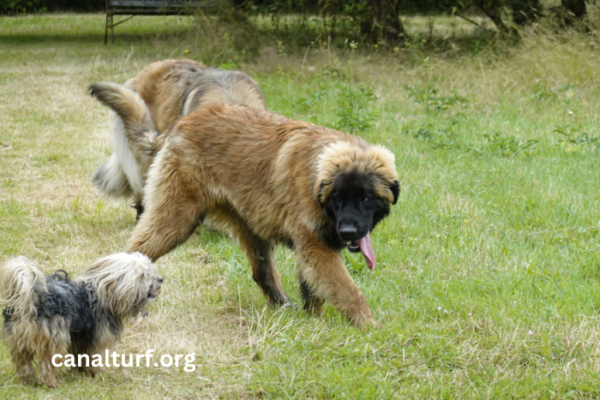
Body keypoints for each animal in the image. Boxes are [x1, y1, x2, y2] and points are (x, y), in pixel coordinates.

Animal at [0, 253, 162, 388]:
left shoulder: (81, 338)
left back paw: (26, 381)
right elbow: (97, 355)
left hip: (19, 339)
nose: (160, 279)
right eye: (144, 275)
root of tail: (35, 298)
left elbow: (81, 355)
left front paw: (83, 370)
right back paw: (51, 383)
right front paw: (100, 372)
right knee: (48, 363)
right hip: (55, 340)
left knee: (23, 362)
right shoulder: (100, 337)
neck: (102, 294)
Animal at [124, 103, 398, 328]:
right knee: (136, 250)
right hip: (177, 219)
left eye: (364, 198)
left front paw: (314, 324)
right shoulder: (317, 248)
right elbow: (350, 291)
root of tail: (182, 122)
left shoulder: (310, 248)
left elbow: (313, 292)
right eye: (338, 198)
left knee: (262, 273)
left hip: (250, 226)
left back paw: (283, 306)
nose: (348, 232)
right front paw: (370, 327)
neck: (317, 179)